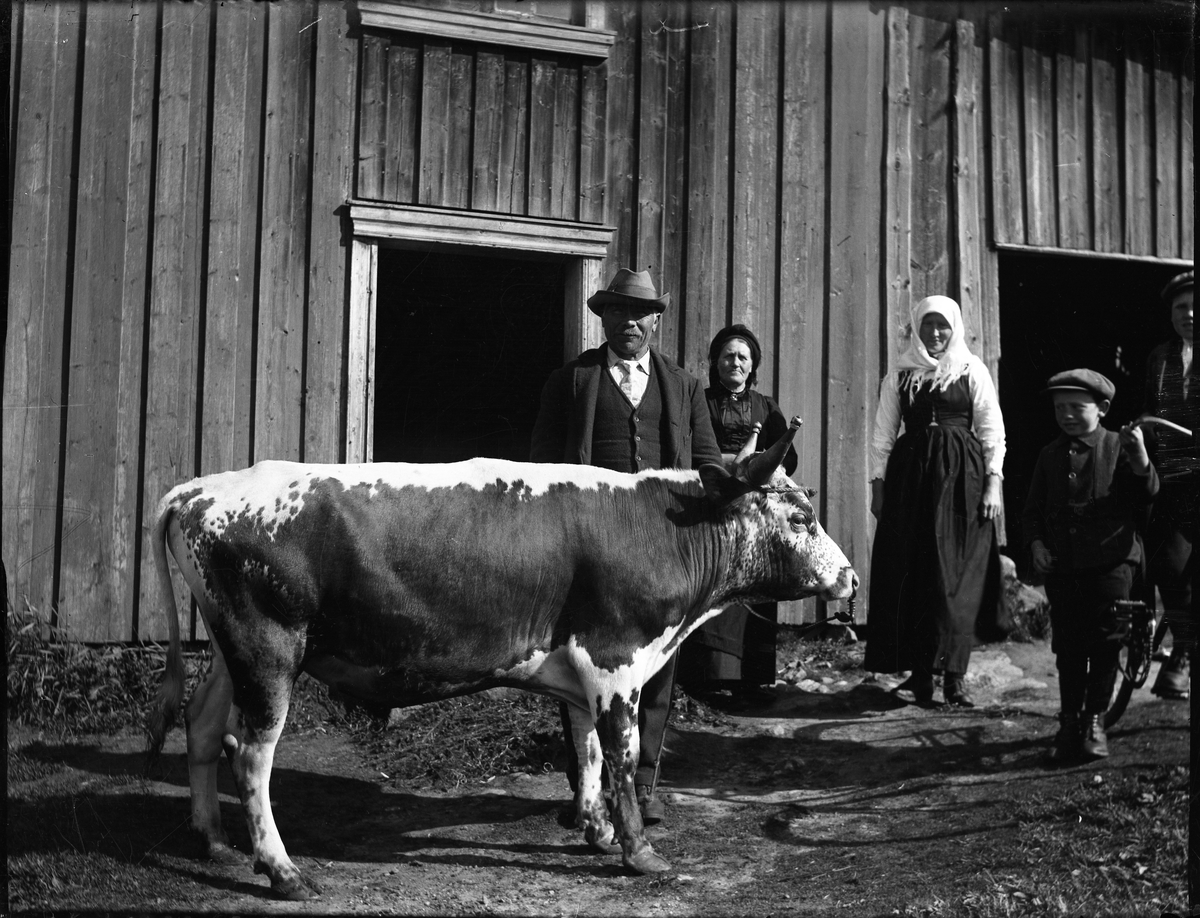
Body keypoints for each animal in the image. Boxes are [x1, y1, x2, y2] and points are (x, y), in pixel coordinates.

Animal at [147, 422, 854, 897]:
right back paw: (281, 868)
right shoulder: (617, 659)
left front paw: (595, 830)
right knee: (252, 756)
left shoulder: (582, 667)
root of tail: (201, 488)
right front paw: (638, 850)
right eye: (800, 517)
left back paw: (212, 839)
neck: (659, 526)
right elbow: (621, 758)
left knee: (204, 727)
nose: (849, 577)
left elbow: (585, 748)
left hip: (228, 649)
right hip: (268, 651)